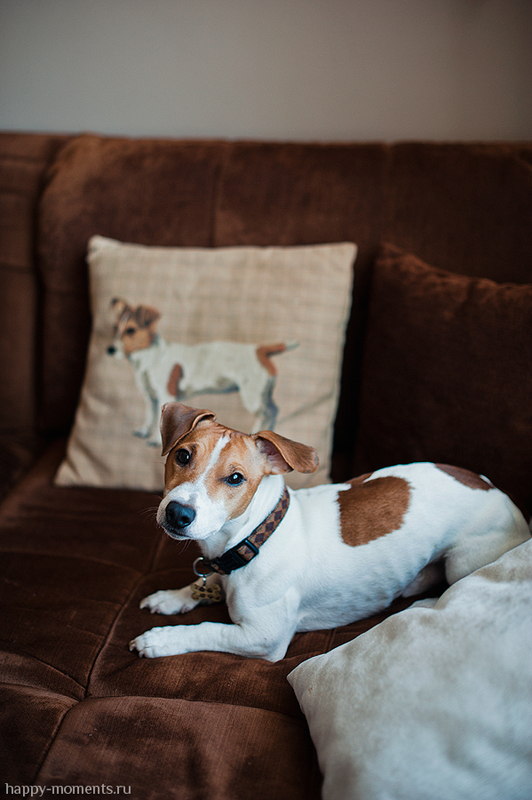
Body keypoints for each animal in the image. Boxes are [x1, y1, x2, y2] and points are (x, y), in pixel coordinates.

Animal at [107, 298, 297, 445]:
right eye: (115, 328)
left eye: (130, 330)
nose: (110, 350)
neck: (151, 356)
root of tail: (259, 350)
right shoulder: (149, 397)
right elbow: (150, 416)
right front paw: (144, 431)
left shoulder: (165, 394)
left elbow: (161, 423)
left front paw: (155, 440)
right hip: (263, 394)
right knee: (274, 410)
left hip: (253, 397)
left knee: (265, 414)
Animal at [129, 403, 531, 662]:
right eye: (182, 456)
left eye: (235, 478)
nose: (178, 512)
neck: (255, 536)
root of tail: (492, 486)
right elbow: (201, 584)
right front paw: (172, 597)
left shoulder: (262, 636)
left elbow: (207, 629)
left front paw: (160, 639)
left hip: (463, 560)